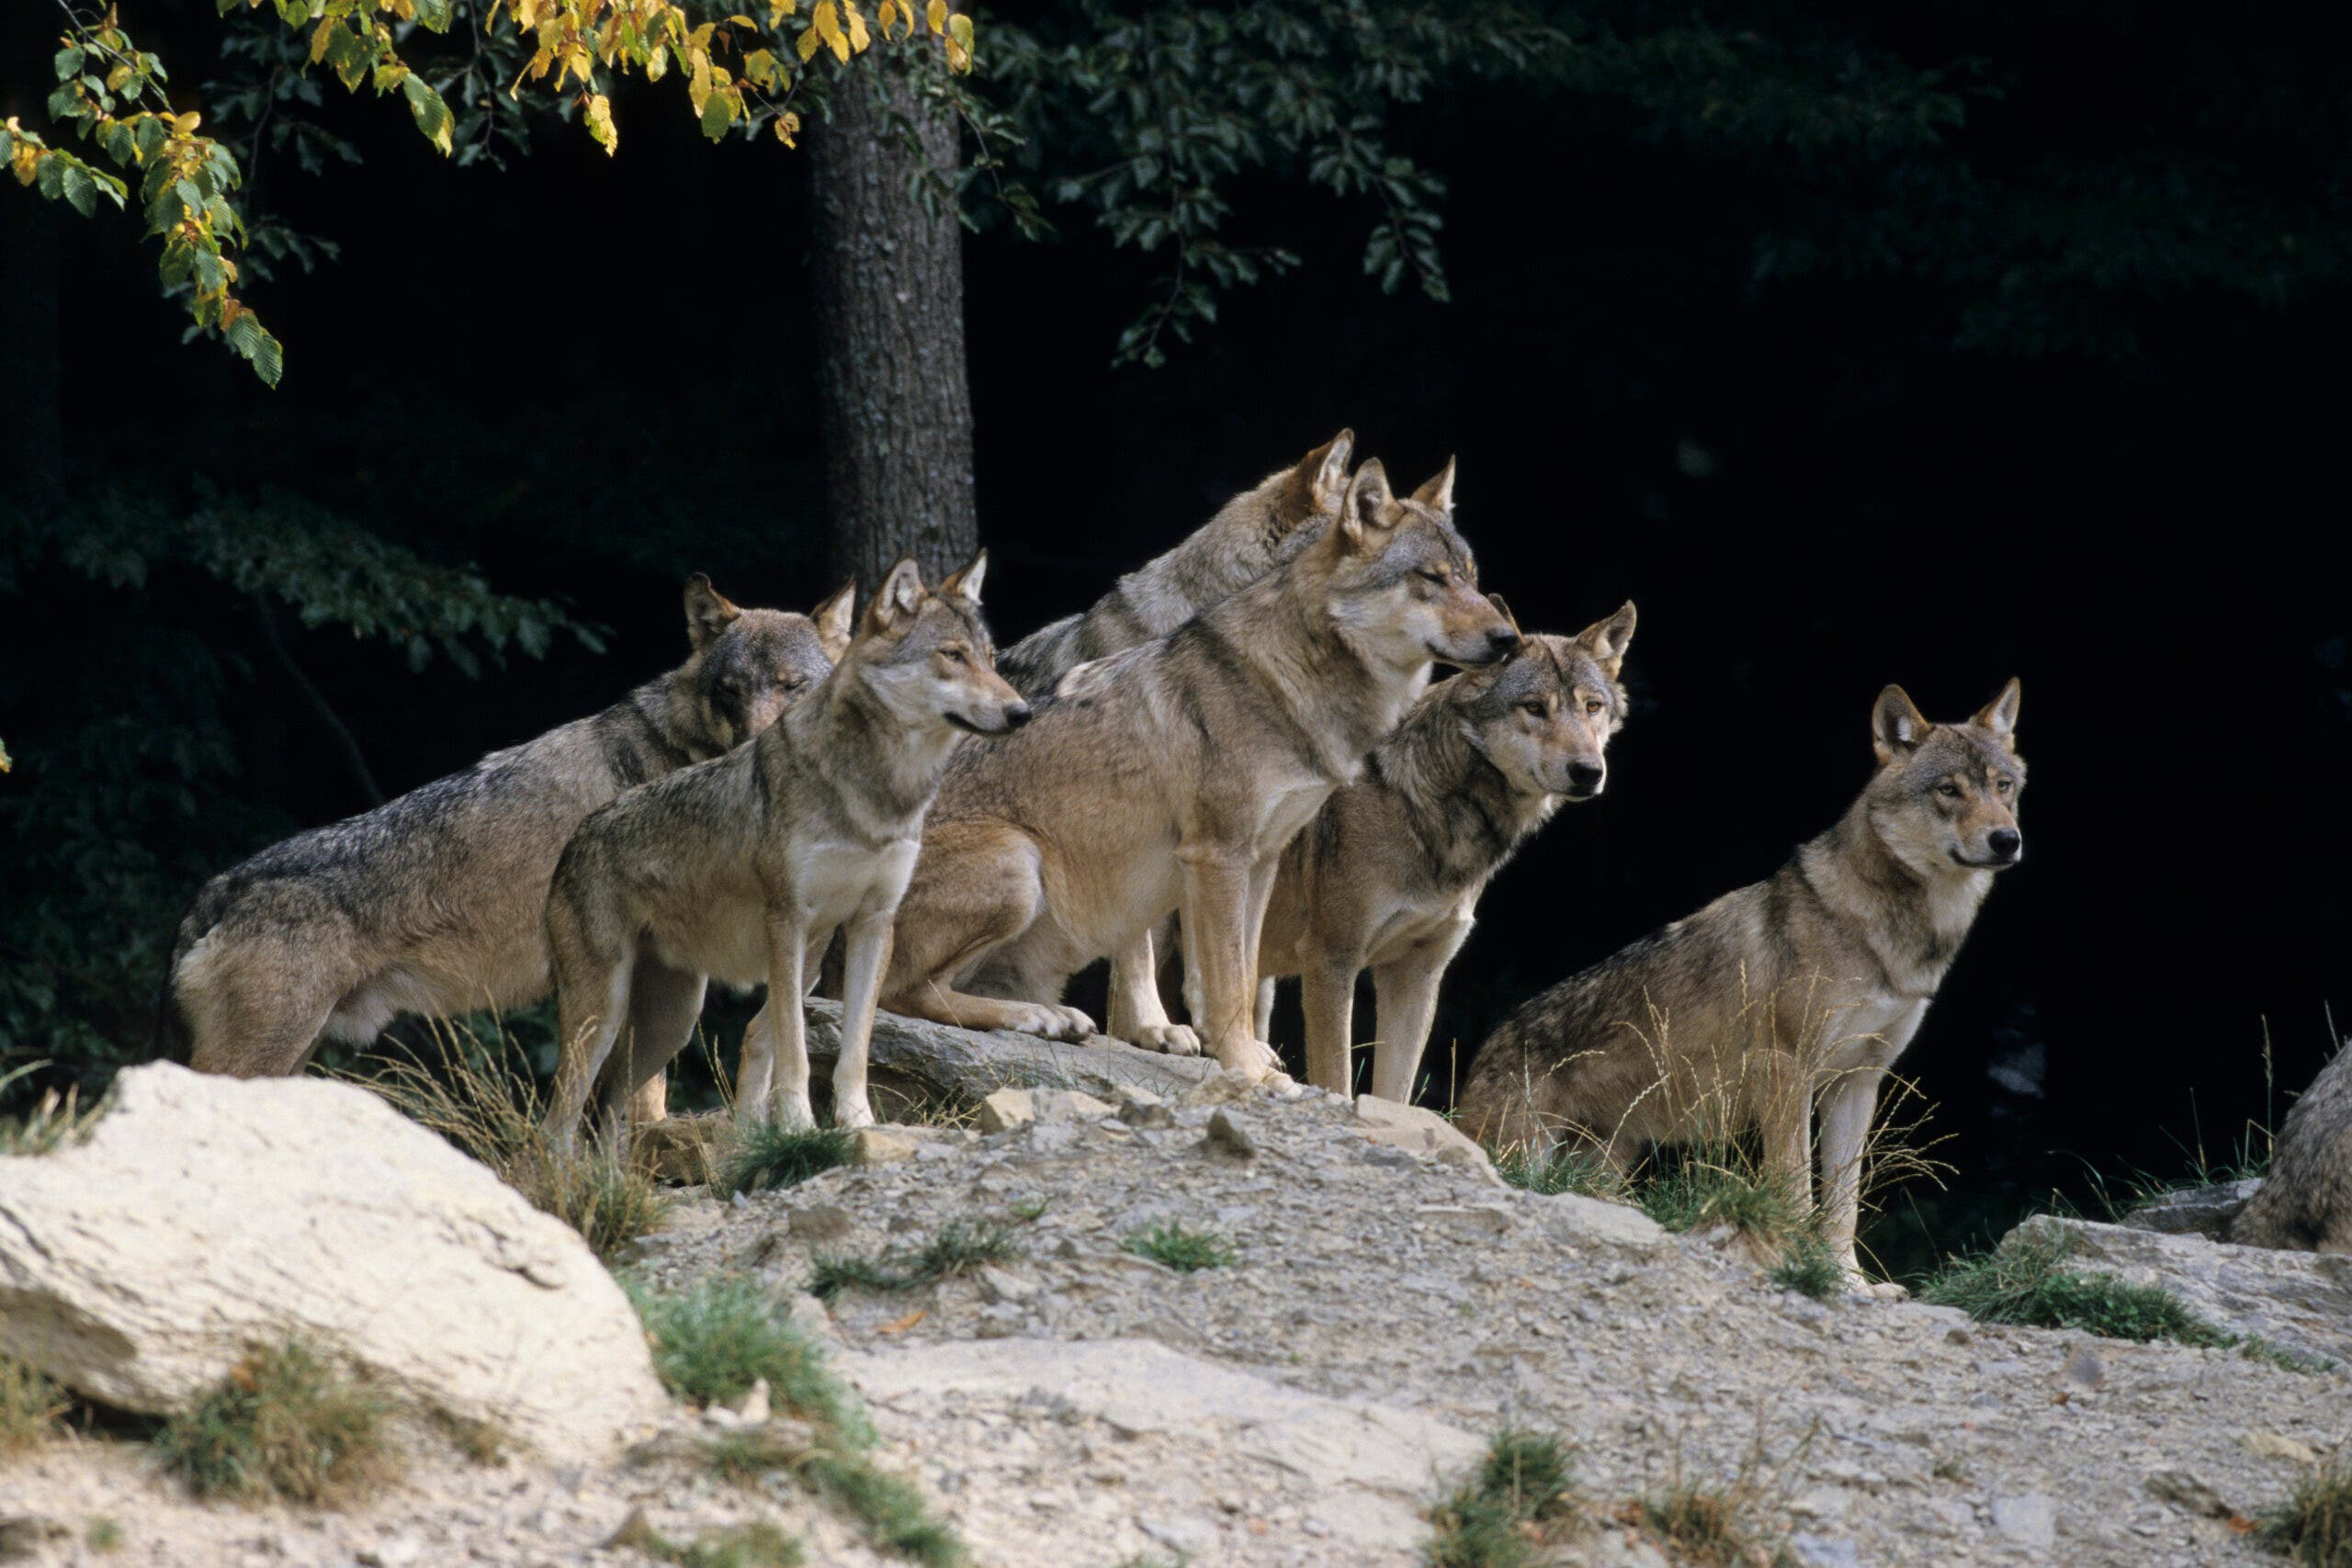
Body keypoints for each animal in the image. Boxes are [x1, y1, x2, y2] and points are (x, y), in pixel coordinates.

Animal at [540, 555, 1025, 1144]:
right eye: (952, 655)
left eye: (991, 658)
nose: (1022, 712)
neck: (877, 795)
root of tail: (575, 838)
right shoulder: (787, 922)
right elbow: (792, 1042)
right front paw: (797, 1125)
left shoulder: (872, 925)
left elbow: (854, 1046)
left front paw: (857, 1122)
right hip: (602, 1020)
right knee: (555, 1128)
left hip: (668, 1026)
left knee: (609, 1117)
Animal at [875, 460, 1517, 1079]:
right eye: (1432, 578)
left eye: (1472, 577)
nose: (1508, 637)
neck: (1291, 681)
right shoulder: (1216, 856)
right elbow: (1223, 980)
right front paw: (1246, 1070)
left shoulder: (1261, 859)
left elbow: (1244, 977)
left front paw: (1249, 1058)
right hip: (1018, 861)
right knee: (901, 993)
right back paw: (1038, 1017)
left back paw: (1052, 1017)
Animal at [1251, 602, 1636, 1101]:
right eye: (1534, 708)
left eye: (1593, 707)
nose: (1588, 771)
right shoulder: (1329, 960)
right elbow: (1337, 1079)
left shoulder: (1416, 975)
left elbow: (1393, 1091)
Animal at [1458, 679, 2027, 1290]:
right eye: (1949, 790)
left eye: (2003, 787)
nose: (2007, 839)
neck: (1892, 935)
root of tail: (1490, 1040)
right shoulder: (1786, 1071)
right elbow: (1797, 1186)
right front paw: (1797, 1258)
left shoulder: (1856, 1082)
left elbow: (1844, 1202)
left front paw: (1847, 1278)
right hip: (1524, 1150)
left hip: (1608, 1161)